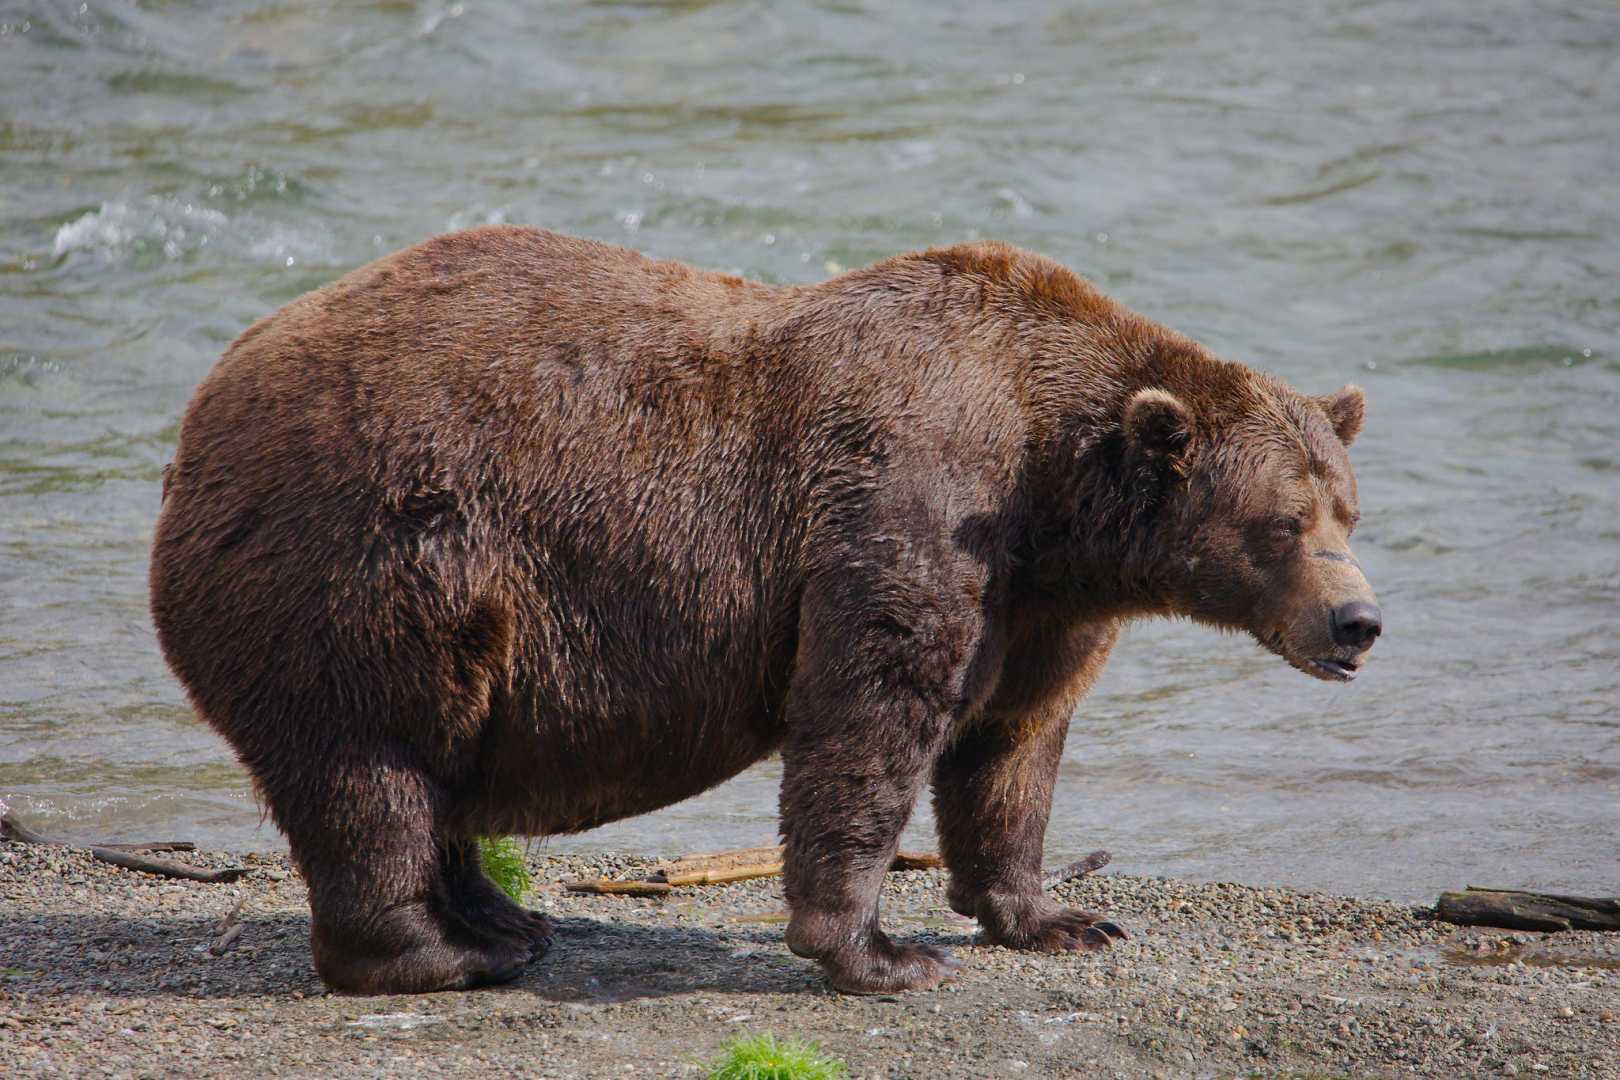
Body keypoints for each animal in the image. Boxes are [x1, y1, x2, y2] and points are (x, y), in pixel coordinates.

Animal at [149, 226, 1381, 996]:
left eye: (1349, 510)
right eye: (1283, 523)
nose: (1357, 623)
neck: (1054, 485)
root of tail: (198, 418)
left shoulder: (1040, 602)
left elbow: (1012, 746)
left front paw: (1059, 917)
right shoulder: (912, 501)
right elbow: (870, 712)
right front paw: (881, 953)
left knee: (432, 767)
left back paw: (505, 919)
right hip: (366, 562)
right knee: (371, 767)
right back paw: (442, 953)